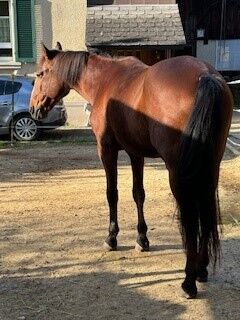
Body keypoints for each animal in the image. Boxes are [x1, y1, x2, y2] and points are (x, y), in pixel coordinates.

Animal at [29, 42, 232, 298]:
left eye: (40, 74)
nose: (33, 109)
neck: (104, 81)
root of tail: (205, 74)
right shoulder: (136, 153)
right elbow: (138, 194)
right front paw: (142, 239)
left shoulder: (106, 150)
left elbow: (112, 194)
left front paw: (111, 238)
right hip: (210, 167)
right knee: (205, 210)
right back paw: (202, 269)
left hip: (179, 172)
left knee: (190, 215)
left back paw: (189, 281)